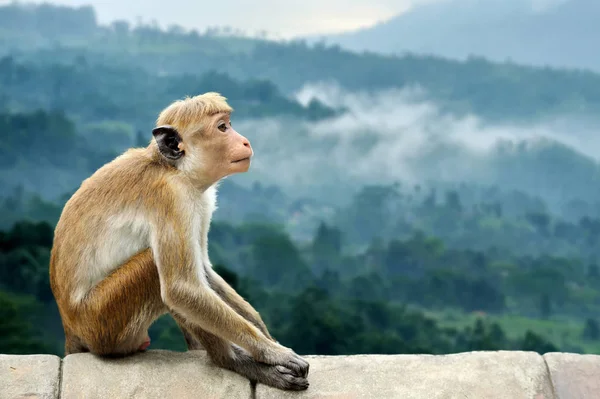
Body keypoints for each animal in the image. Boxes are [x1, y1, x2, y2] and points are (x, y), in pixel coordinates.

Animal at [49, 92, 312, 392]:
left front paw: (265, 333)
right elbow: (181, 287)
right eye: (223, 128)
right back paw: (231, 360)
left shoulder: (200, 200)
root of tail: (70, 326)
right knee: (156, 271)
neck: (174, 169)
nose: (244, 140)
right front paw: (272, 352)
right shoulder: (172, 197)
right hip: (102, 323)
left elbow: (203, 270)